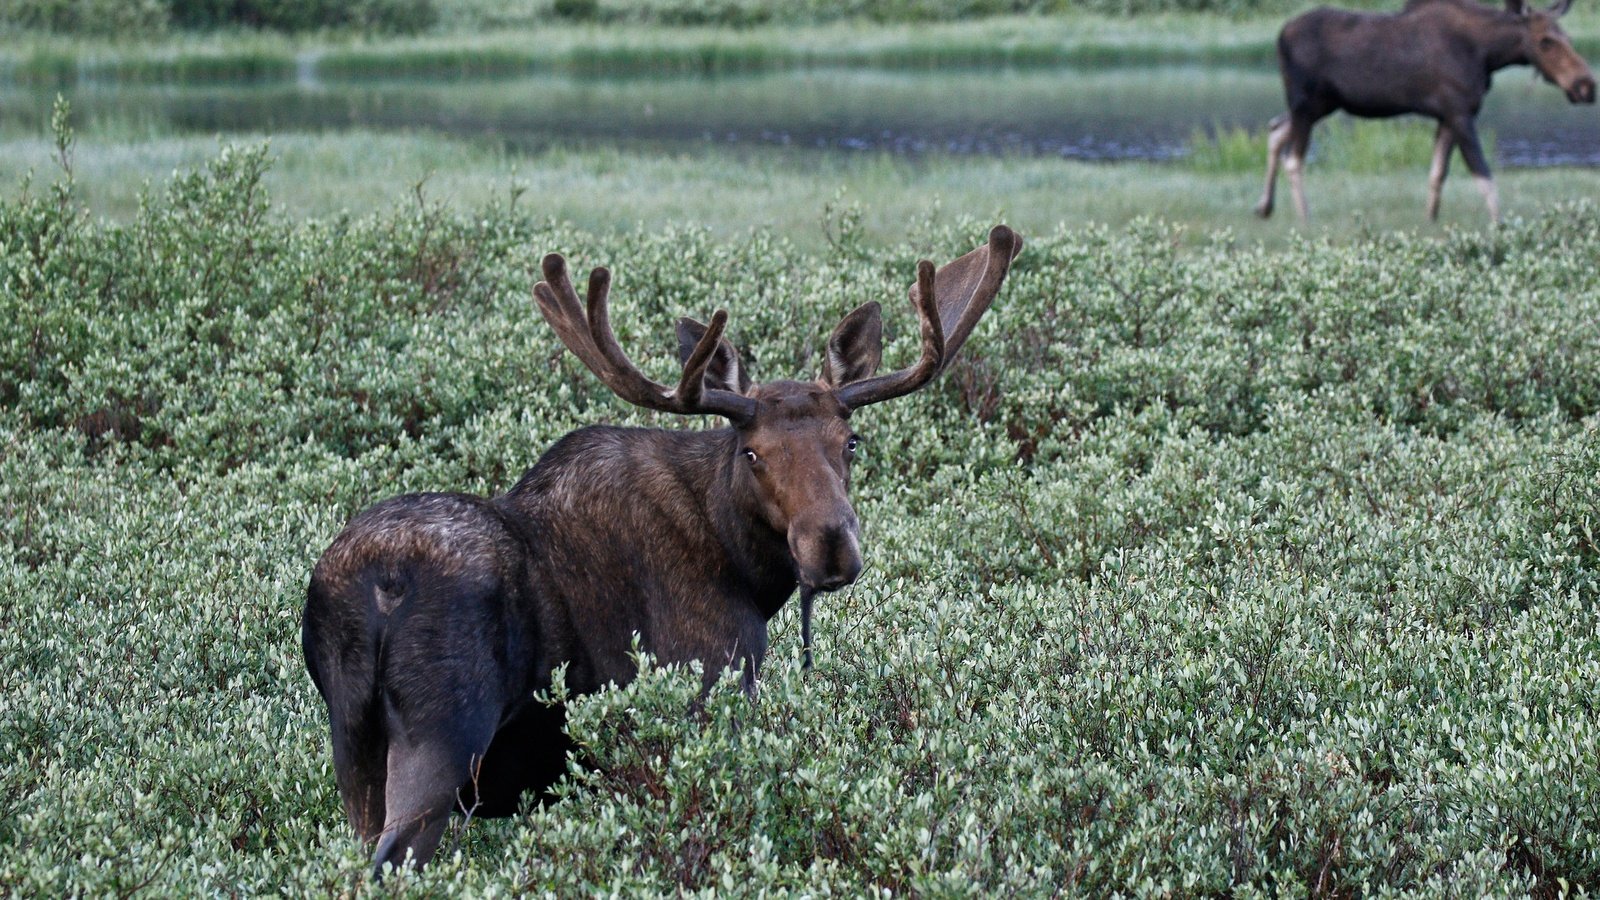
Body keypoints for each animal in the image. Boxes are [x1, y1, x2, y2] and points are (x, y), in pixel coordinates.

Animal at [300, 222, 1024, 871]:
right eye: (753, 452)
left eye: (851, 441)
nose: (832, 548)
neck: (747, 572)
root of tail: (370, 592)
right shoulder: (710, 680)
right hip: (444, 736)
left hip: (353, 747)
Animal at [1254, 0, 1593, 220]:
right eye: (1545, 41)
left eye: (1568, 37)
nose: (1586, 85)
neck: (1488, 55)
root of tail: (1279, 37)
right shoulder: (1459, 111)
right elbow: (1483, 173)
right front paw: (1500, 225)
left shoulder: (1447, 116)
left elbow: (1437, 173)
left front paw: (1431, 220)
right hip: (1306, 103)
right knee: (1293, 158)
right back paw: (1304, 218)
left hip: (1321, 105)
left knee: (1275, 129)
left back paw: (1265, 206)